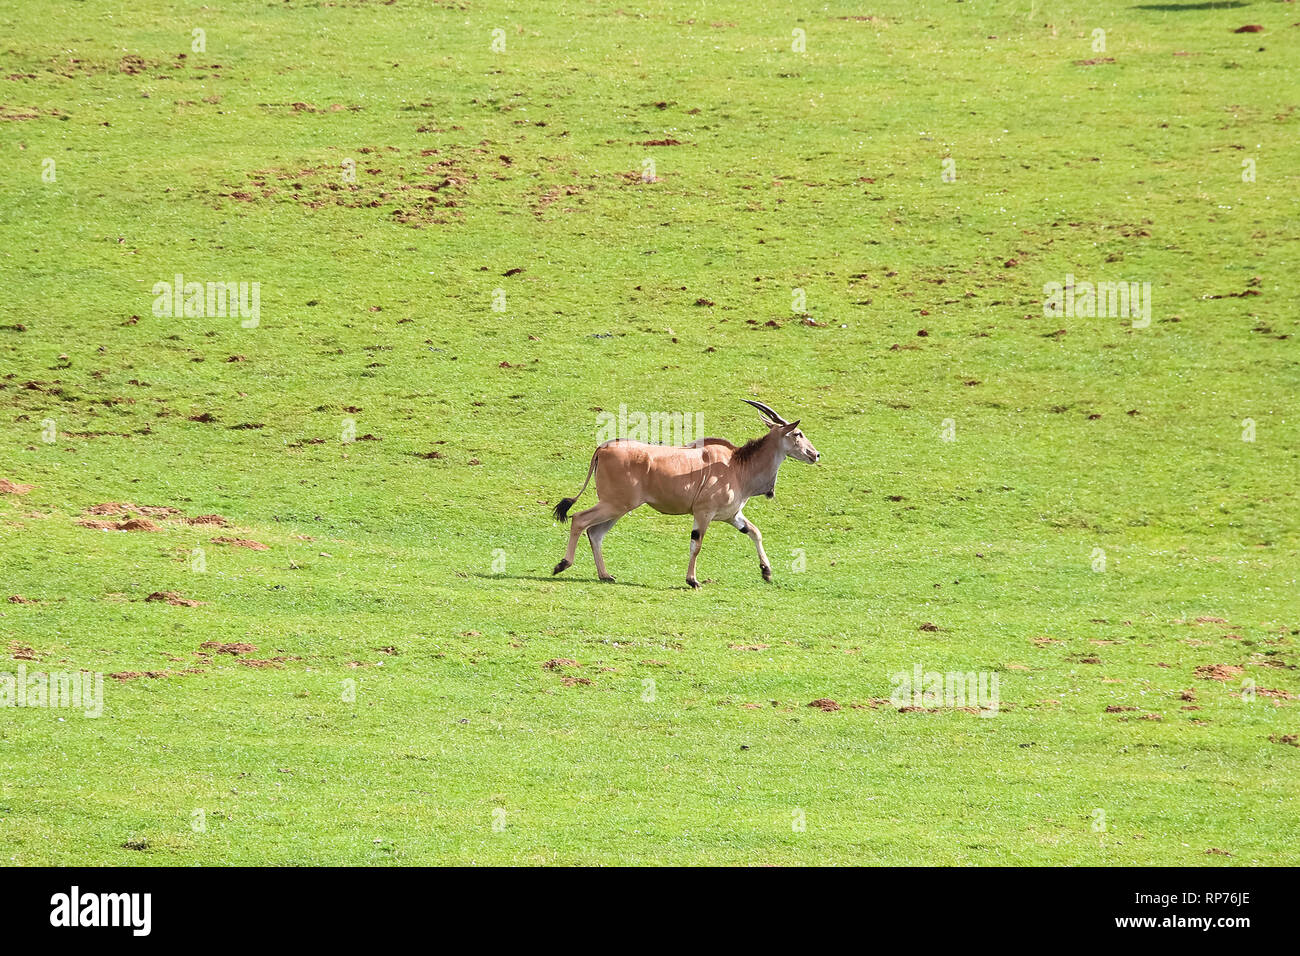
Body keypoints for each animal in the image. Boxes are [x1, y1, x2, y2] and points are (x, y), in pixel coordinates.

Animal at [551, 400, 820, 588]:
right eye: (798, 434)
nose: (815, 454)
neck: (737, 465)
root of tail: (603, 447)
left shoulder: (733, 516)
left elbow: (755, 532)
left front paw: (767, 571)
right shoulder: (703, 513)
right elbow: (696, 545)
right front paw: (692, 580)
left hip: (618, 508)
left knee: (595, 533)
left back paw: (605, 575)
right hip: (614, 505)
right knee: (580, 519)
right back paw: (563, 564)